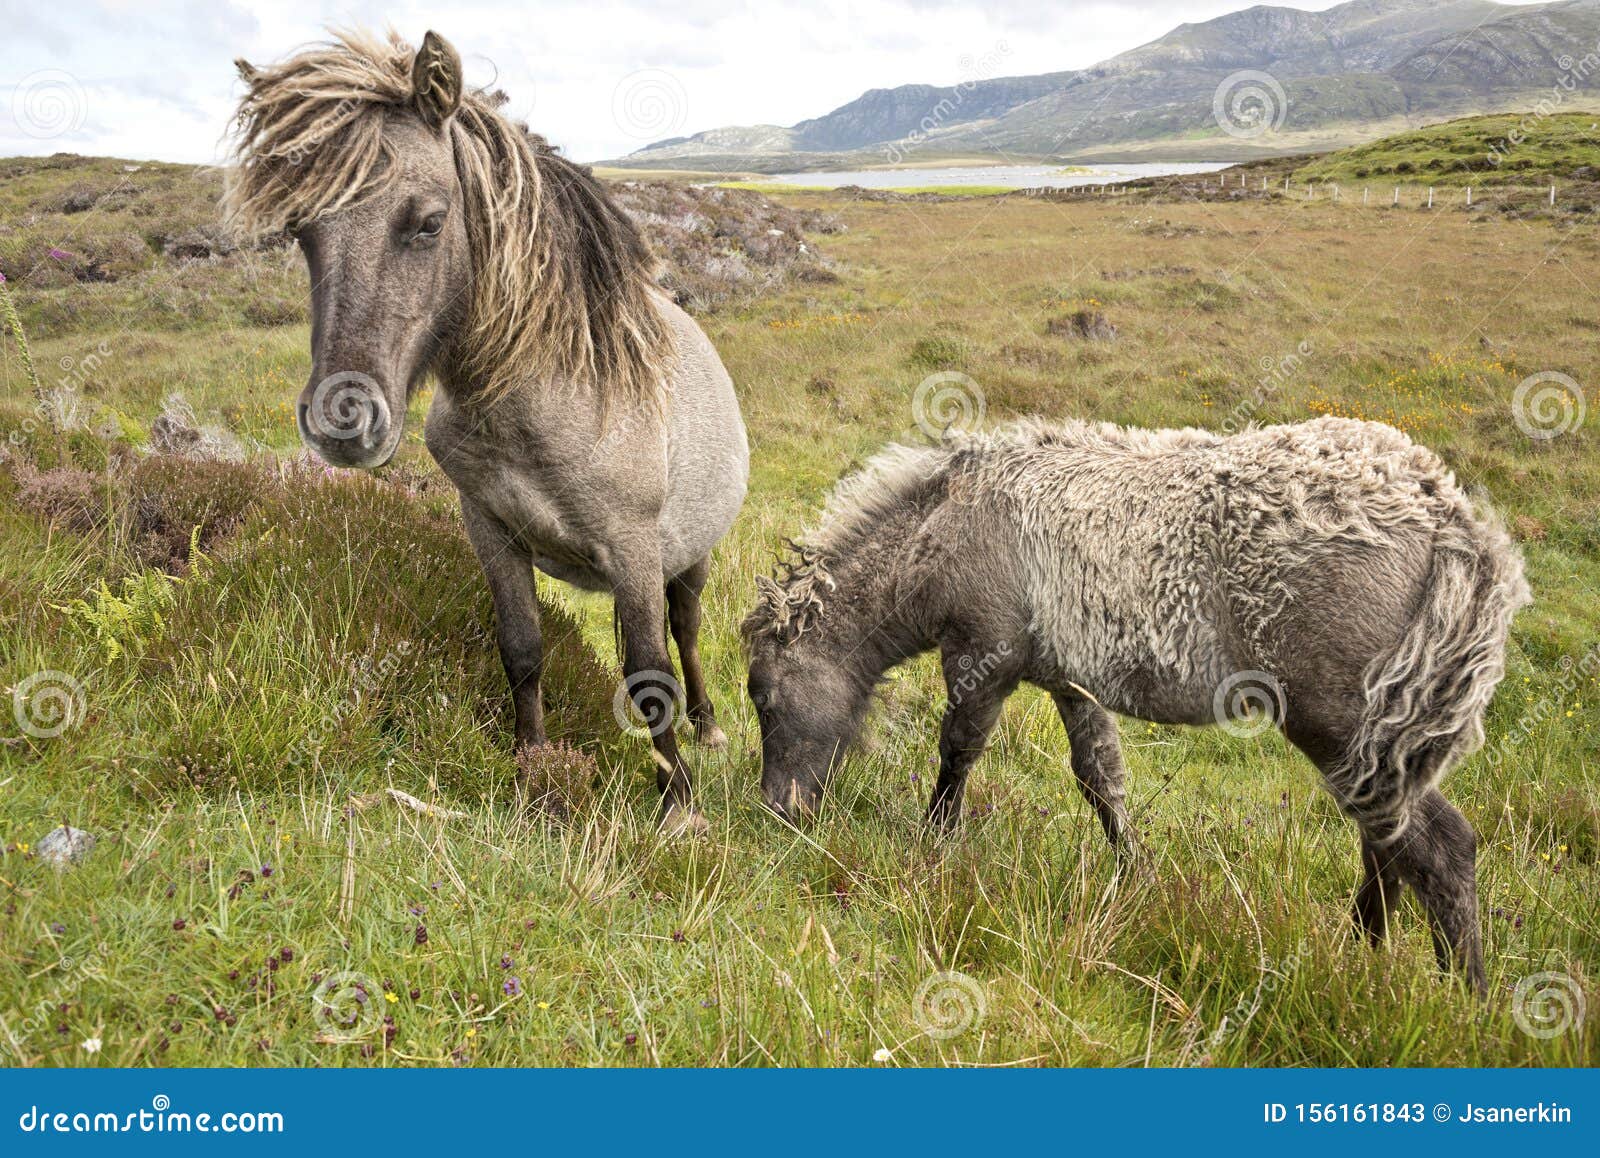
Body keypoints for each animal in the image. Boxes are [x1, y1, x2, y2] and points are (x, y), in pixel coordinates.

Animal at [227, 29, 748, 831]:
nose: (343, 421)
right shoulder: (491, 529)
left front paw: (678, 808)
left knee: (686, 628)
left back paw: (709, 726)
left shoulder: (633, 548)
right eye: (299, 231)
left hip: (689, 553)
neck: (543, 401)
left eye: (428, 222)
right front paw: (533, 767)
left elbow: (648, 670)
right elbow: (523, 649)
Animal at [742, 415, 1529, 985]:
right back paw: (1362, 956)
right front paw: (1135, 878)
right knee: (1387, 843)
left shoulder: (981, 658)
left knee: (1437, 847)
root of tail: (1452, 520)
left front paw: (934, 845)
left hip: (1338, 727)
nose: (779, 811)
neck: (948, 522)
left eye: (763, 696)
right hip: (1371, 742)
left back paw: (1462, 995)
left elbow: (958, 752)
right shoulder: (1068, 680)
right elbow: (1100, 777)